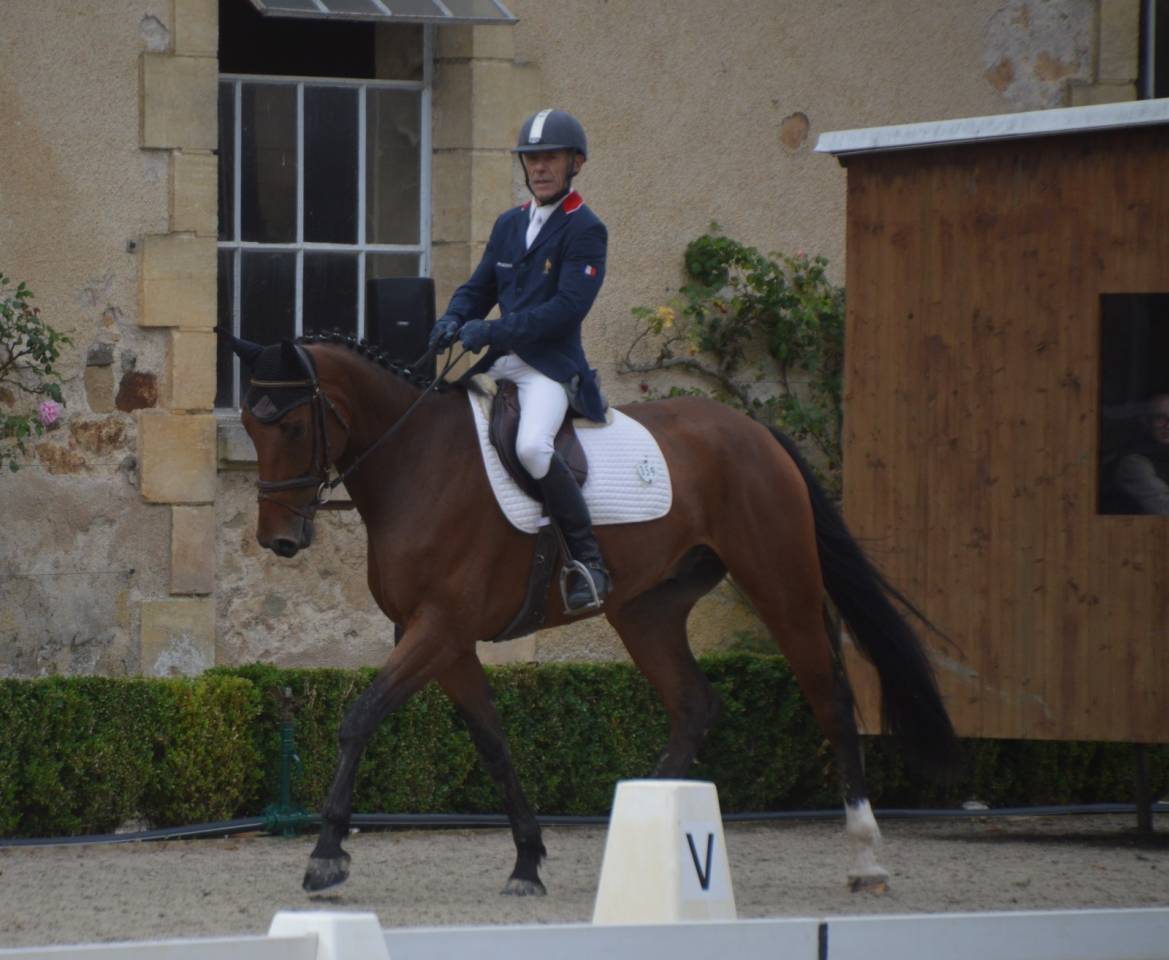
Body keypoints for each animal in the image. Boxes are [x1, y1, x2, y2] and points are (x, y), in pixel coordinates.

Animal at [225, 330, 956, 896]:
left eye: (293, 424)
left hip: (781, 584)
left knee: (829, 698)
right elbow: (492, 742)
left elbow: (360, 718)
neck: (416, 462)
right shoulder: (443, 639)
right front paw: (527, 860)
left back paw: (865, 856)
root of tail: (754, 431)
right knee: (694, 705)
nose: (279, 540)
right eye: (250, 424)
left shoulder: (439, 628)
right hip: (646, 611)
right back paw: (636, 840)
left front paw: (326, 855)